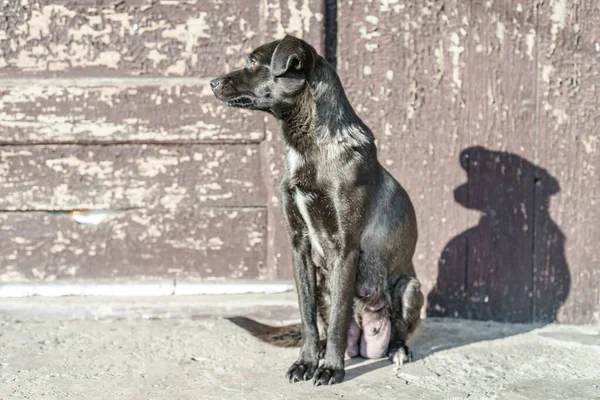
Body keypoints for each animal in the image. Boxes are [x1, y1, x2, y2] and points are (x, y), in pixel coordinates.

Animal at [211, 35, 422, 388]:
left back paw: (397, 349)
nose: (212, 82)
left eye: (253, 62)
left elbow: (338, 319)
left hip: (410, 288)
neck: (308, 148)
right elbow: (307, 316)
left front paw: (331, 368)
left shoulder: (345, 249)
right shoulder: (298, 245)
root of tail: (363, 342)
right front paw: (307, 362)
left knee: (395, 327)